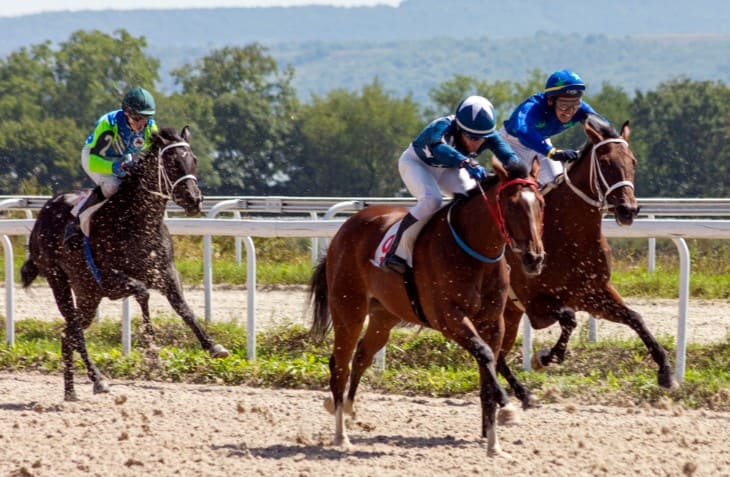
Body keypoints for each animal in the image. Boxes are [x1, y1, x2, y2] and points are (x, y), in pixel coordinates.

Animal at [19, 124, 229, 400]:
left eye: (193, 160)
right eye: (172, 162)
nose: (194, 200)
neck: (136, 222)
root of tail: (43, 214)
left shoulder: (165, 274)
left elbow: (183, 308)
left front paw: (213, 346)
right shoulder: (110, 280)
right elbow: (142, 293)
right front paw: (152, 353)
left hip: (88, 293)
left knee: (68, 334)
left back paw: (71, 392)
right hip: (59, 280)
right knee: (75, 331)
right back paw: (98, 380)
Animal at [310, 161, 544, 458]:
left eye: (541, 203)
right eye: (511, 205)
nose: (534, 258)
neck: (474, 251)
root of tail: (344, 229)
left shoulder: (493, 322)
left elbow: (488, 364)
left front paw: (494, 444)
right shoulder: (449, 318)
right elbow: (485, 354)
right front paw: (508, 403)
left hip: (384, 316)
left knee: (362, 355)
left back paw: (350, 408)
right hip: (348, 310)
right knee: (340, 364)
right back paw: (341, 435)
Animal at [494, 113, 676, 408]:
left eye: (633, 161)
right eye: (605, 162)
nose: (628, 210)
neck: (568, 235)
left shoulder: (593, 293)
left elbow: (635, 318)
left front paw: (666, 372)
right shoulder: (534, 301)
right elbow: (569, 319)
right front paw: (544, 357)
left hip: (509, 313)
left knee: (497, 354)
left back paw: (520, 394)